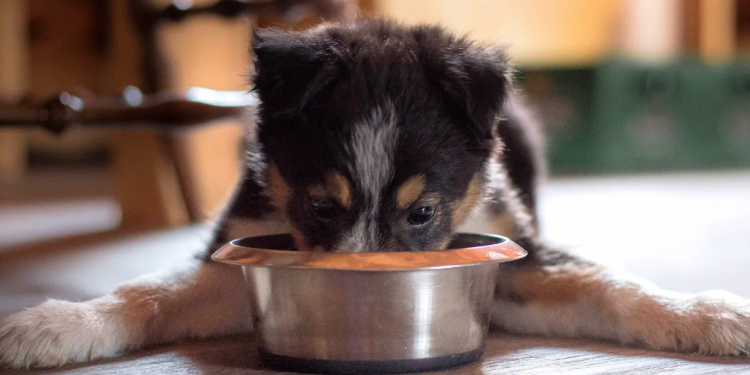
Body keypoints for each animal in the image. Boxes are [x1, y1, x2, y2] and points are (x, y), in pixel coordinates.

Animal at [1, 19, 750, 368]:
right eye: (318, 204)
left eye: (422, 212)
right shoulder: (238, 244)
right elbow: (146, 293)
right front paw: (48, 326)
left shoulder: (515, 258)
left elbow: (613, 287)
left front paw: (713, 314)